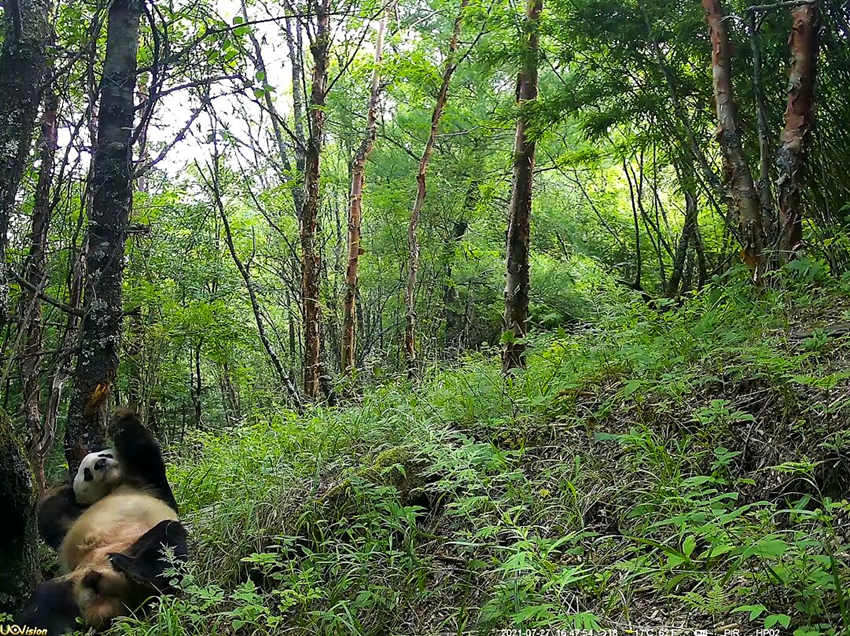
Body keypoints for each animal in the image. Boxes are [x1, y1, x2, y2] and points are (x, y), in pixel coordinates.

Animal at [17, 410, 187, 632]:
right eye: (87, 472)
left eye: (105, 455)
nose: (100, 464)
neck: (114, 485)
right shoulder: (71, 518)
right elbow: (52, 515)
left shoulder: (149, 484)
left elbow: (146, 454)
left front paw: (121, 418)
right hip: (71, 584)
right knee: (43, 604)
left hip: (134, 545)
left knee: (167, 539)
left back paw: (135, 571)